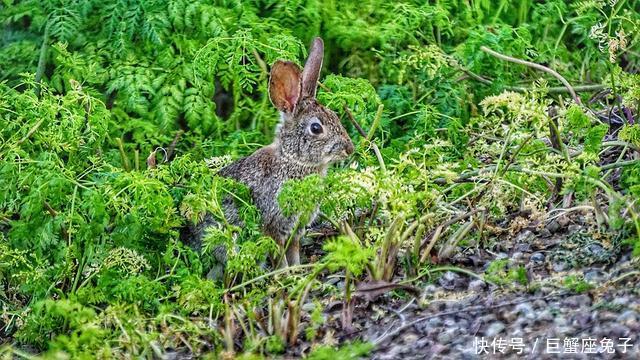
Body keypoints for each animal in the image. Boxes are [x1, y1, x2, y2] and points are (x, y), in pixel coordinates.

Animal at [185, 37, 356, 278]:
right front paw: (286, 276)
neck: (293, 160)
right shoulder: (272, 225)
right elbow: (278, 254)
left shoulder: (295, 229)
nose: (349, 149)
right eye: (316, 128)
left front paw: (298, 271)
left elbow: (293, 251)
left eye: (335, 116)